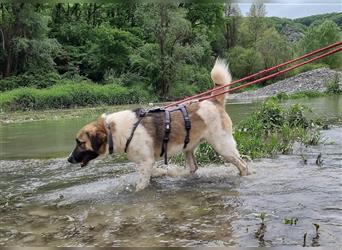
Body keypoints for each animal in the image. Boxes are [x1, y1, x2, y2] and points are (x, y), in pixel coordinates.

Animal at [67, 59, 248, 191]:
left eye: (80, 143)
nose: (69, 159)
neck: (114, 130)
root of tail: (213, 101)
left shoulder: (146, 162)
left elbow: (141, 185)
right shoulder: (146, 163)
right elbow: (153, 173)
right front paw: (163, 173)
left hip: (223, 147)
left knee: (243, 165)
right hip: (189, 148)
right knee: (193, 168)